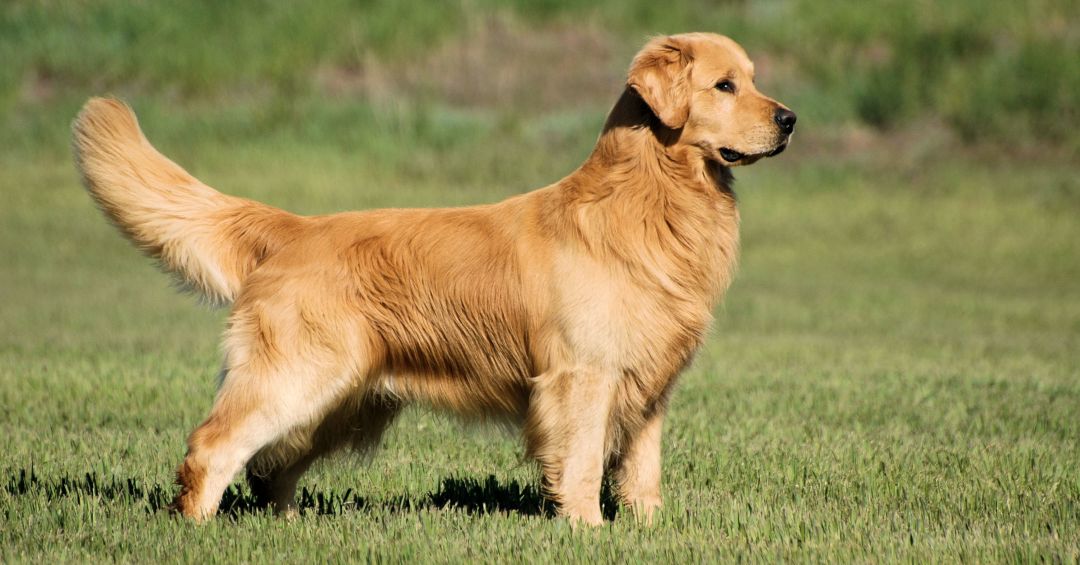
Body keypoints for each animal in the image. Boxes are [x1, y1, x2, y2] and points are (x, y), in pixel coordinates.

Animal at [69, 32, 794, 527]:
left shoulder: (649, 384)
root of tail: (294, 227)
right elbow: (584, 462)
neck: (648, 199)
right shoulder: (582, 376)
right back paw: (197, 526)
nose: (789, 119)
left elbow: (642, 470)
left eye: (752, 80)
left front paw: (645, 529)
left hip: (339, 396)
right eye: (725, 86)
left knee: (271, 465)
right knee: (214, 445)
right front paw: (588, 529)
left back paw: (289, 525)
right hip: (297, 375)